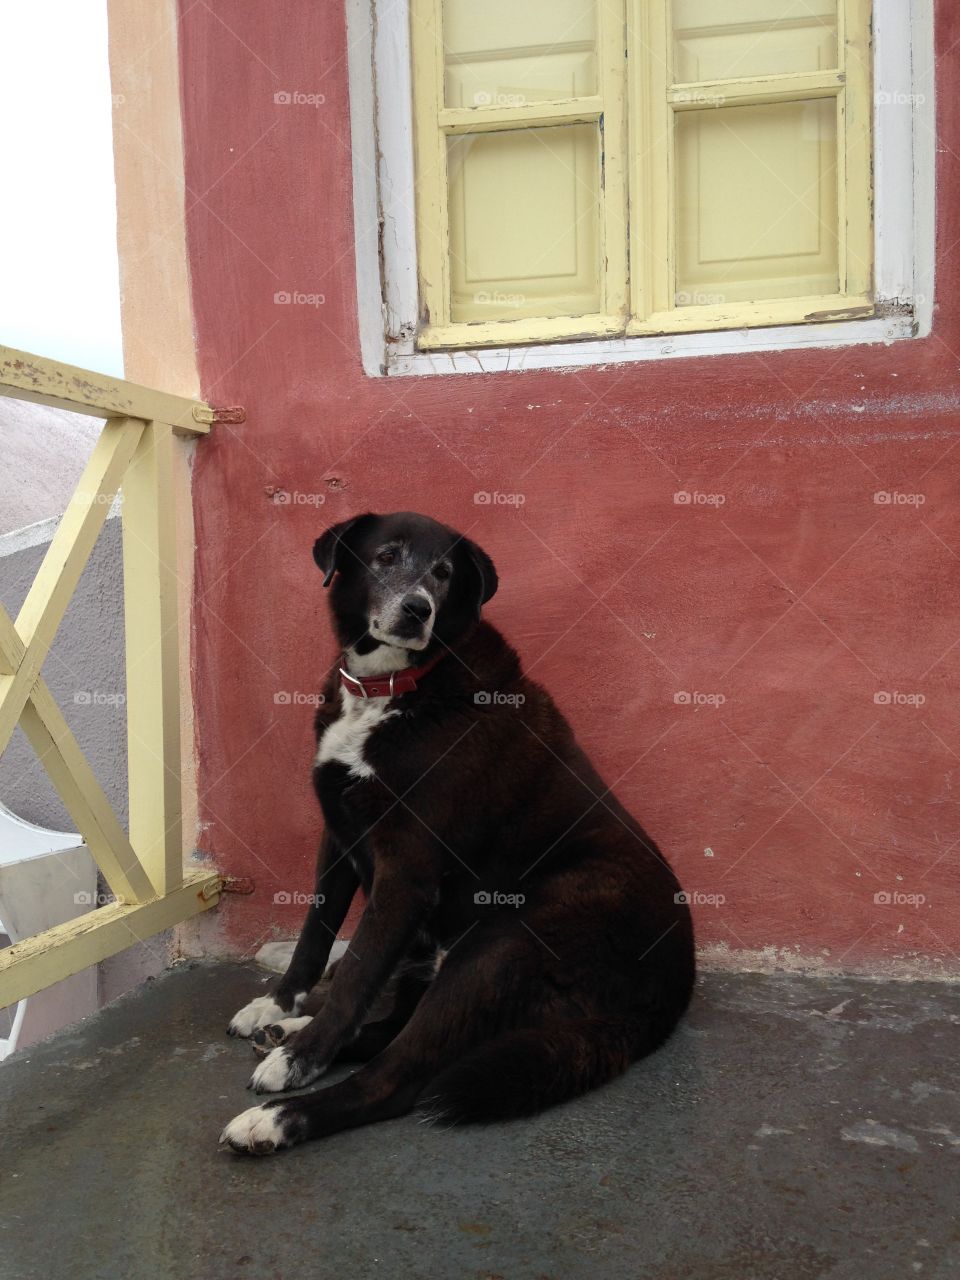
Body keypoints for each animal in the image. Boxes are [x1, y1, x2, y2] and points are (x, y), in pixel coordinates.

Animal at [221, 514, 696, 1157]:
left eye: (445, 572)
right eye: (386, 555)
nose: (417, 609)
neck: (393, 688)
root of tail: (663, 999)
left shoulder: (406, 872)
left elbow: (355, 974)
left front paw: (300, 1061)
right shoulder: (339, 836)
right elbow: (316, 935)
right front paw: (278, 1003)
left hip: (499, 945)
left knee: (399, 1076)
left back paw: (277, 1115)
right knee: (393, 1033)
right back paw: (282, 1029)